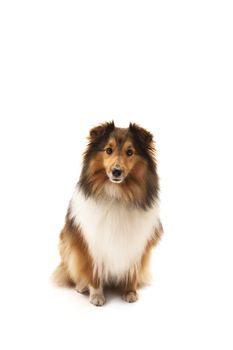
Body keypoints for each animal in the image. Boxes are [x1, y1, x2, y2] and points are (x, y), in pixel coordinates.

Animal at [53, 121, 163, 304]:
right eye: (108, 150)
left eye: (130, 152)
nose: (116, 171)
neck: (117, 194)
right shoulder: (91, 242)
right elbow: (93, 271)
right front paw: (96, 296)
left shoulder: (137, 244)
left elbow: (132, 269)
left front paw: (130, 291)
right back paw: (81, 286)